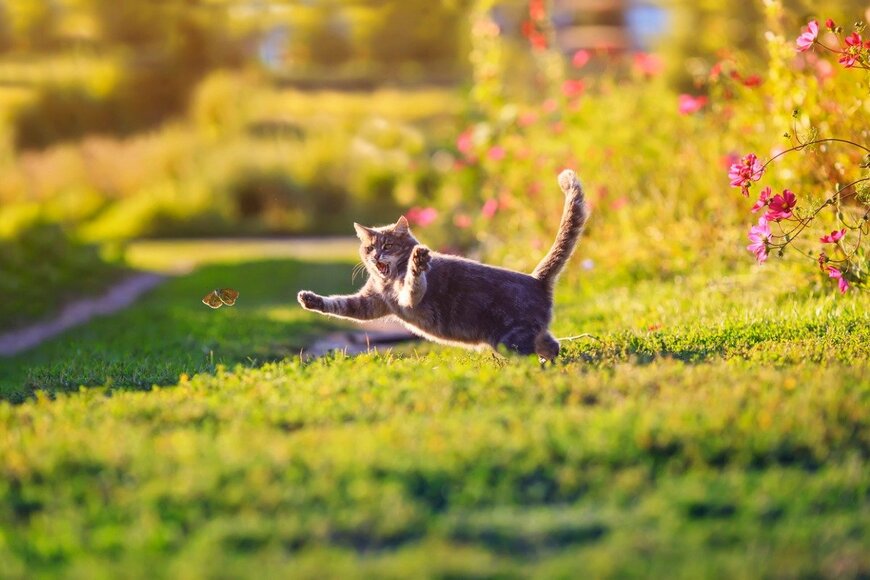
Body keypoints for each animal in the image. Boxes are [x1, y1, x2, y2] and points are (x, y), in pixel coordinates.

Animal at [296, 168, 588, 360]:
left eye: (387, 246)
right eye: (369, 248)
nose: (376, 256)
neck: (388, 282)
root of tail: (536, 280)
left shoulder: (409, 298)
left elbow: (413, 282)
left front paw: (418, 260)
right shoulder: (369, 303)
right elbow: (340, 305)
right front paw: (309, 299)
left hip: (511, 340)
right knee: (552, 344)